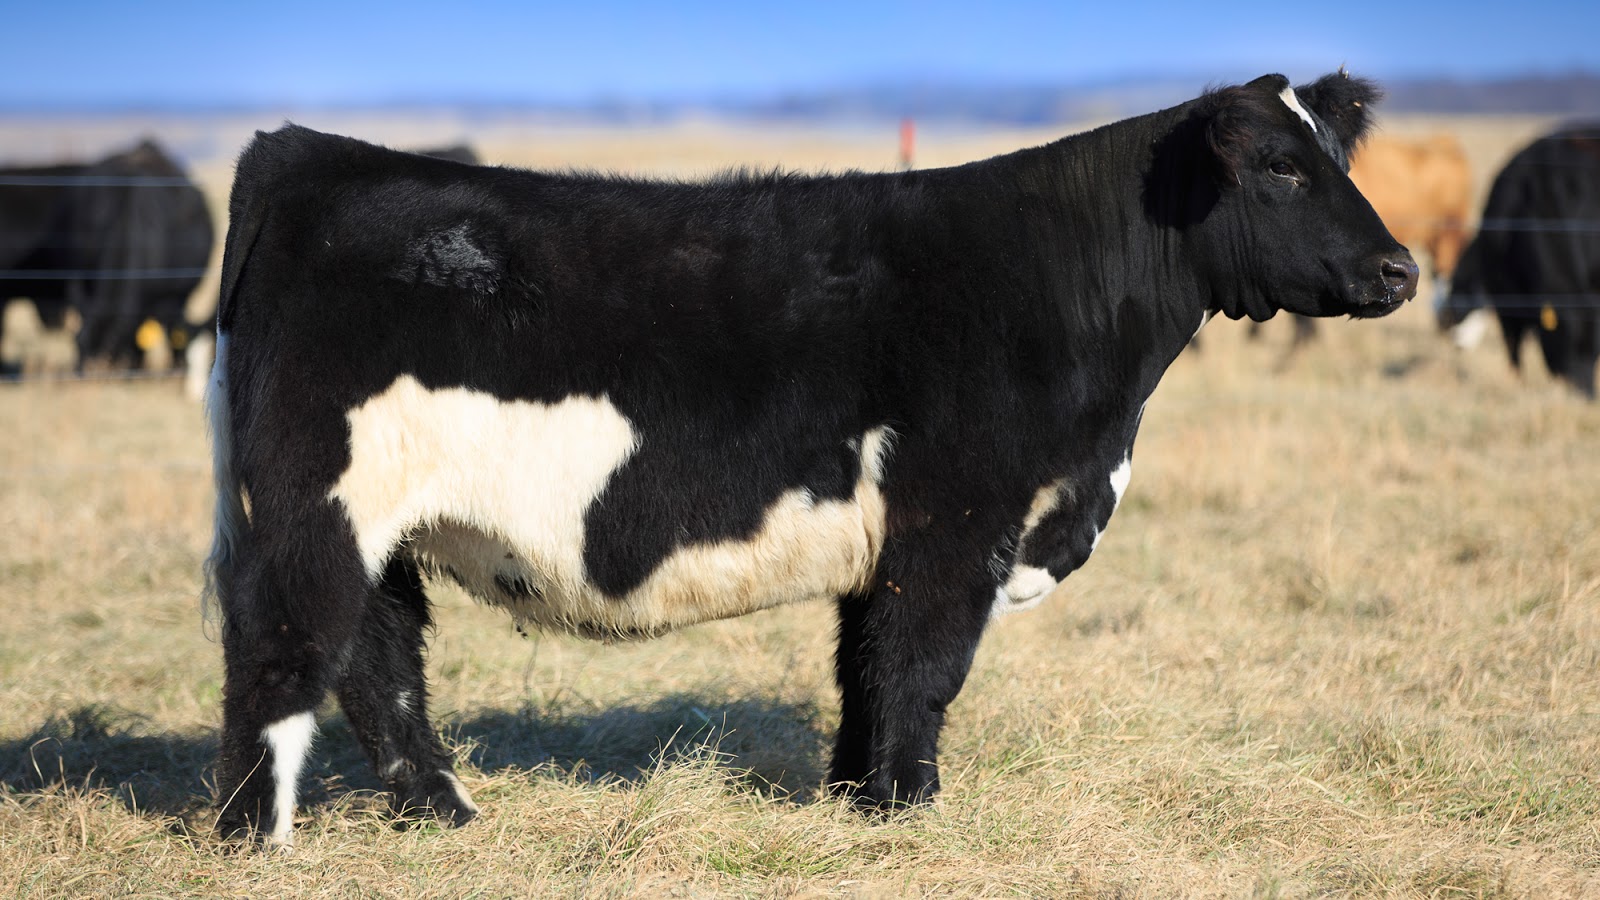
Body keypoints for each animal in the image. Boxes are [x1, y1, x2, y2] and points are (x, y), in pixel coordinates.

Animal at [204, 71, 1417, 848]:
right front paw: (914, 809)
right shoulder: (955, 524)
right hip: (315, 507)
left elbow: (865, 670)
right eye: (1278, 166)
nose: (1399, 269)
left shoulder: (889, 543)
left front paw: (857, 800)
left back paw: (443, 811)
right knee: (281, 652)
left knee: (376, 658)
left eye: (1337, 156)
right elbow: (923, 669)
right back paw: (254, 839)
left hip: (375, 526)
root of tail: (303, 152)